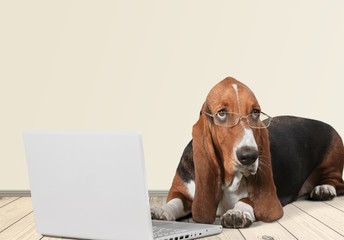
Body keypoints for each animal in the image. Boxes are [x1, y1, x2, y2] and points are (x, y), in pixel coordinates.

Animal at [151, 77, 344, 229]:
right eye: (222, 113)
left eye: (255, 112)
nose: (249, 156)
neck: (228, 181)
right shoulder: (180, 191)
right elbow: (175, 201)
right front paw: (161, 211)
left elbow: (247, 200)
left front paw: (238, 213)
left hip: (332, 161)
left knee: (336, 181)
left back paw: (324, 189)